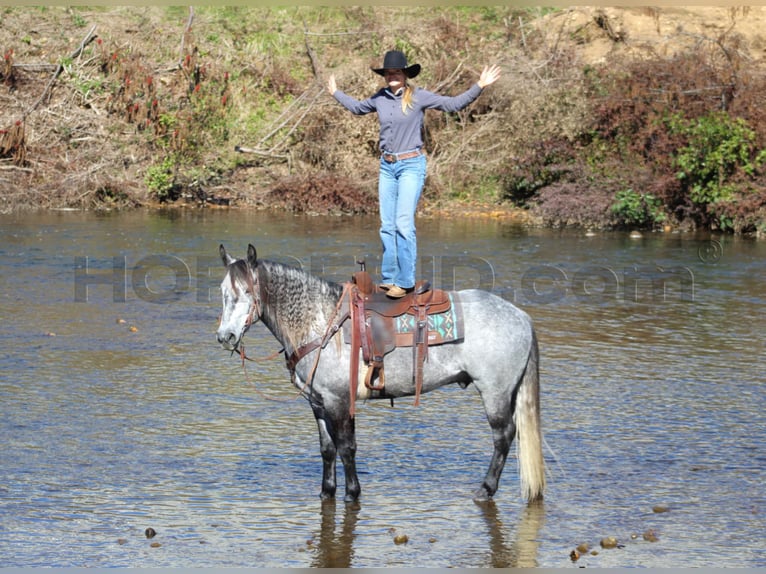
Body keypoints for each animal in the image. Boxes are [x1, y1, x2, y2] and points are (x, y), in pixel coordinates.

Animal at [216, 245, 544, 506]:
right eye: (223, 293)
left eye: (247, 292)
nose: (225, 336)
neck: (319, 322)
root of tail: (521, 317)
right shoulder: (318, 403)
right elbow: (327, 449)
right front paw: (326, 492)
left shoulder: (338, 400)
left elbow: (346, 448)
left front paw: (352, 493)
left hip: (495, 392)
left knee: (503, 436)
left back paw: (485, 489)